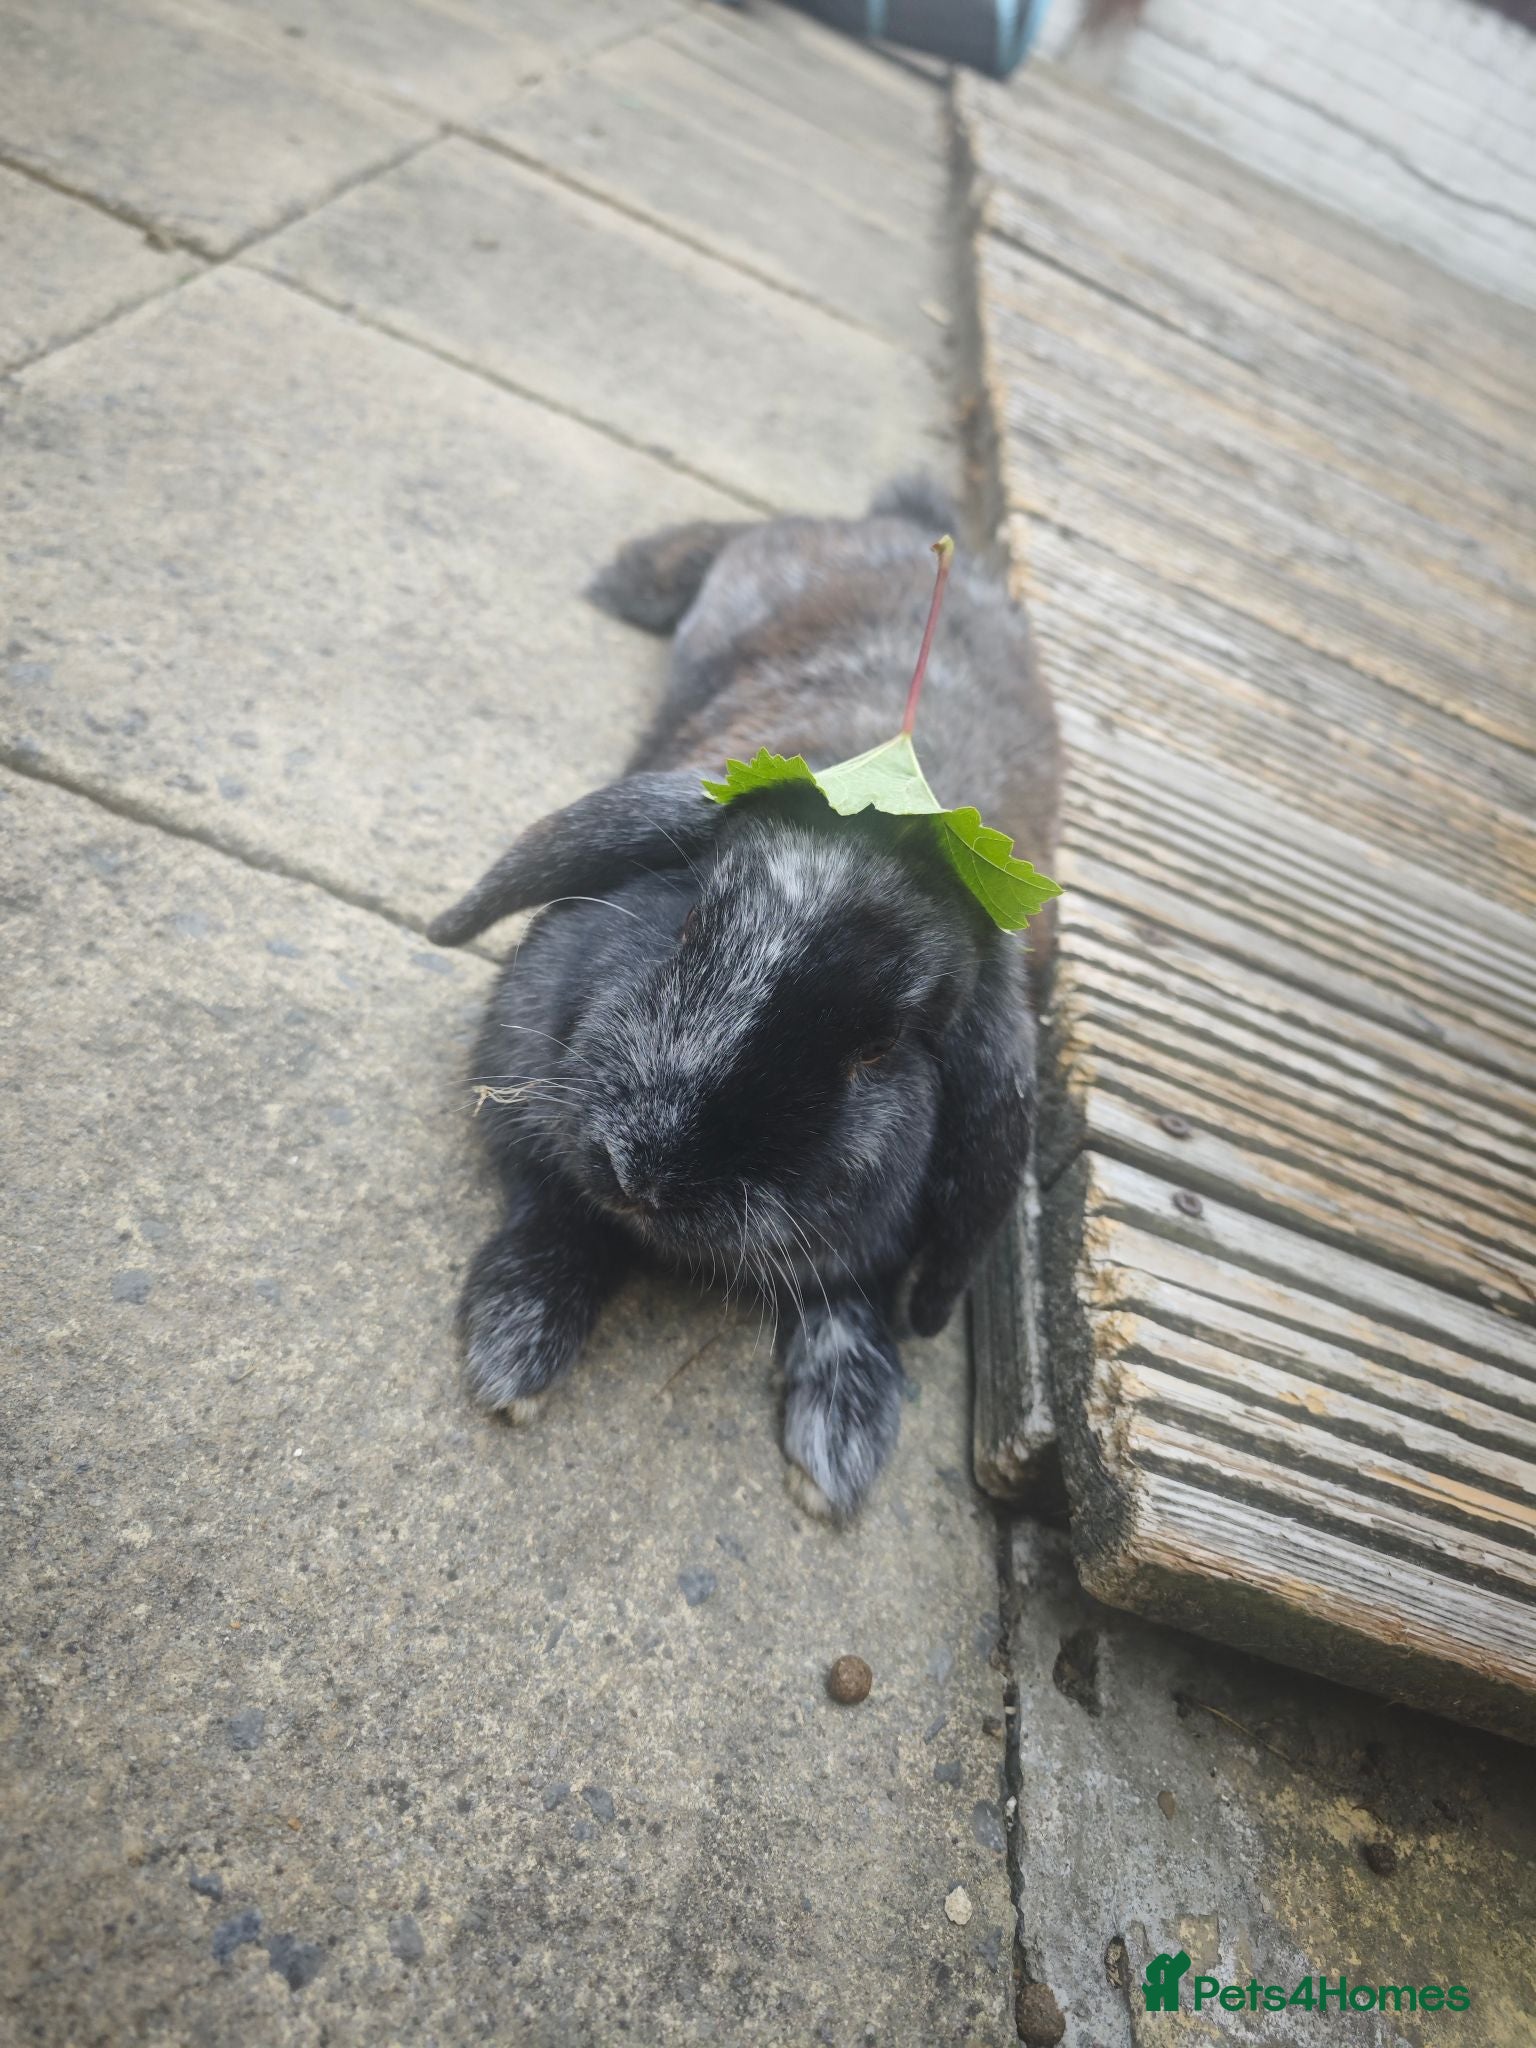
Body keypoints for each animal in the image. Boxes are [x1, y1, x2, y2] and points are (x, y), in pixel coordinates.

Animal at [427, 478, 1062, 1519]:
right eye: (690, 919)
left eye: (880, 1049)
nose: (644, 1170)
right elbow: (557, 1214)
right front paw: (512, 1349)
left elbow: (852, 1307)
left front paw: (840, 1444)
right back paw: (620, 585)